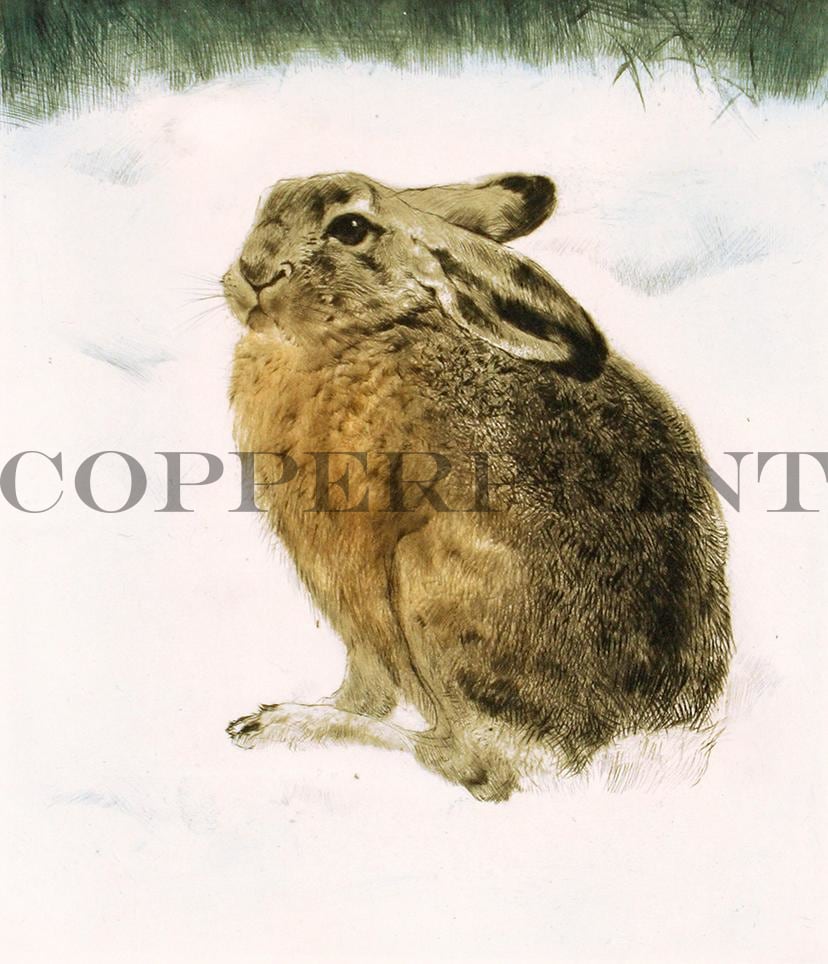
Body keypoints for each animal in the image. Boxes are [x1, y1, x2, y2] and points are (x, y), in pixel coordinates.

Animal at [222, 171, 732, 801]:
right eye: (267, 200)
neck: (369, 330)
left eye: (351, 227)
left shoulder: (354, 586)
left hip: (426, 590)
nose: (252, 272)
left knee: (470, 765)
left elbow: (370, 692)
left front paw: (294, 718)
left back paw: (282, 723)